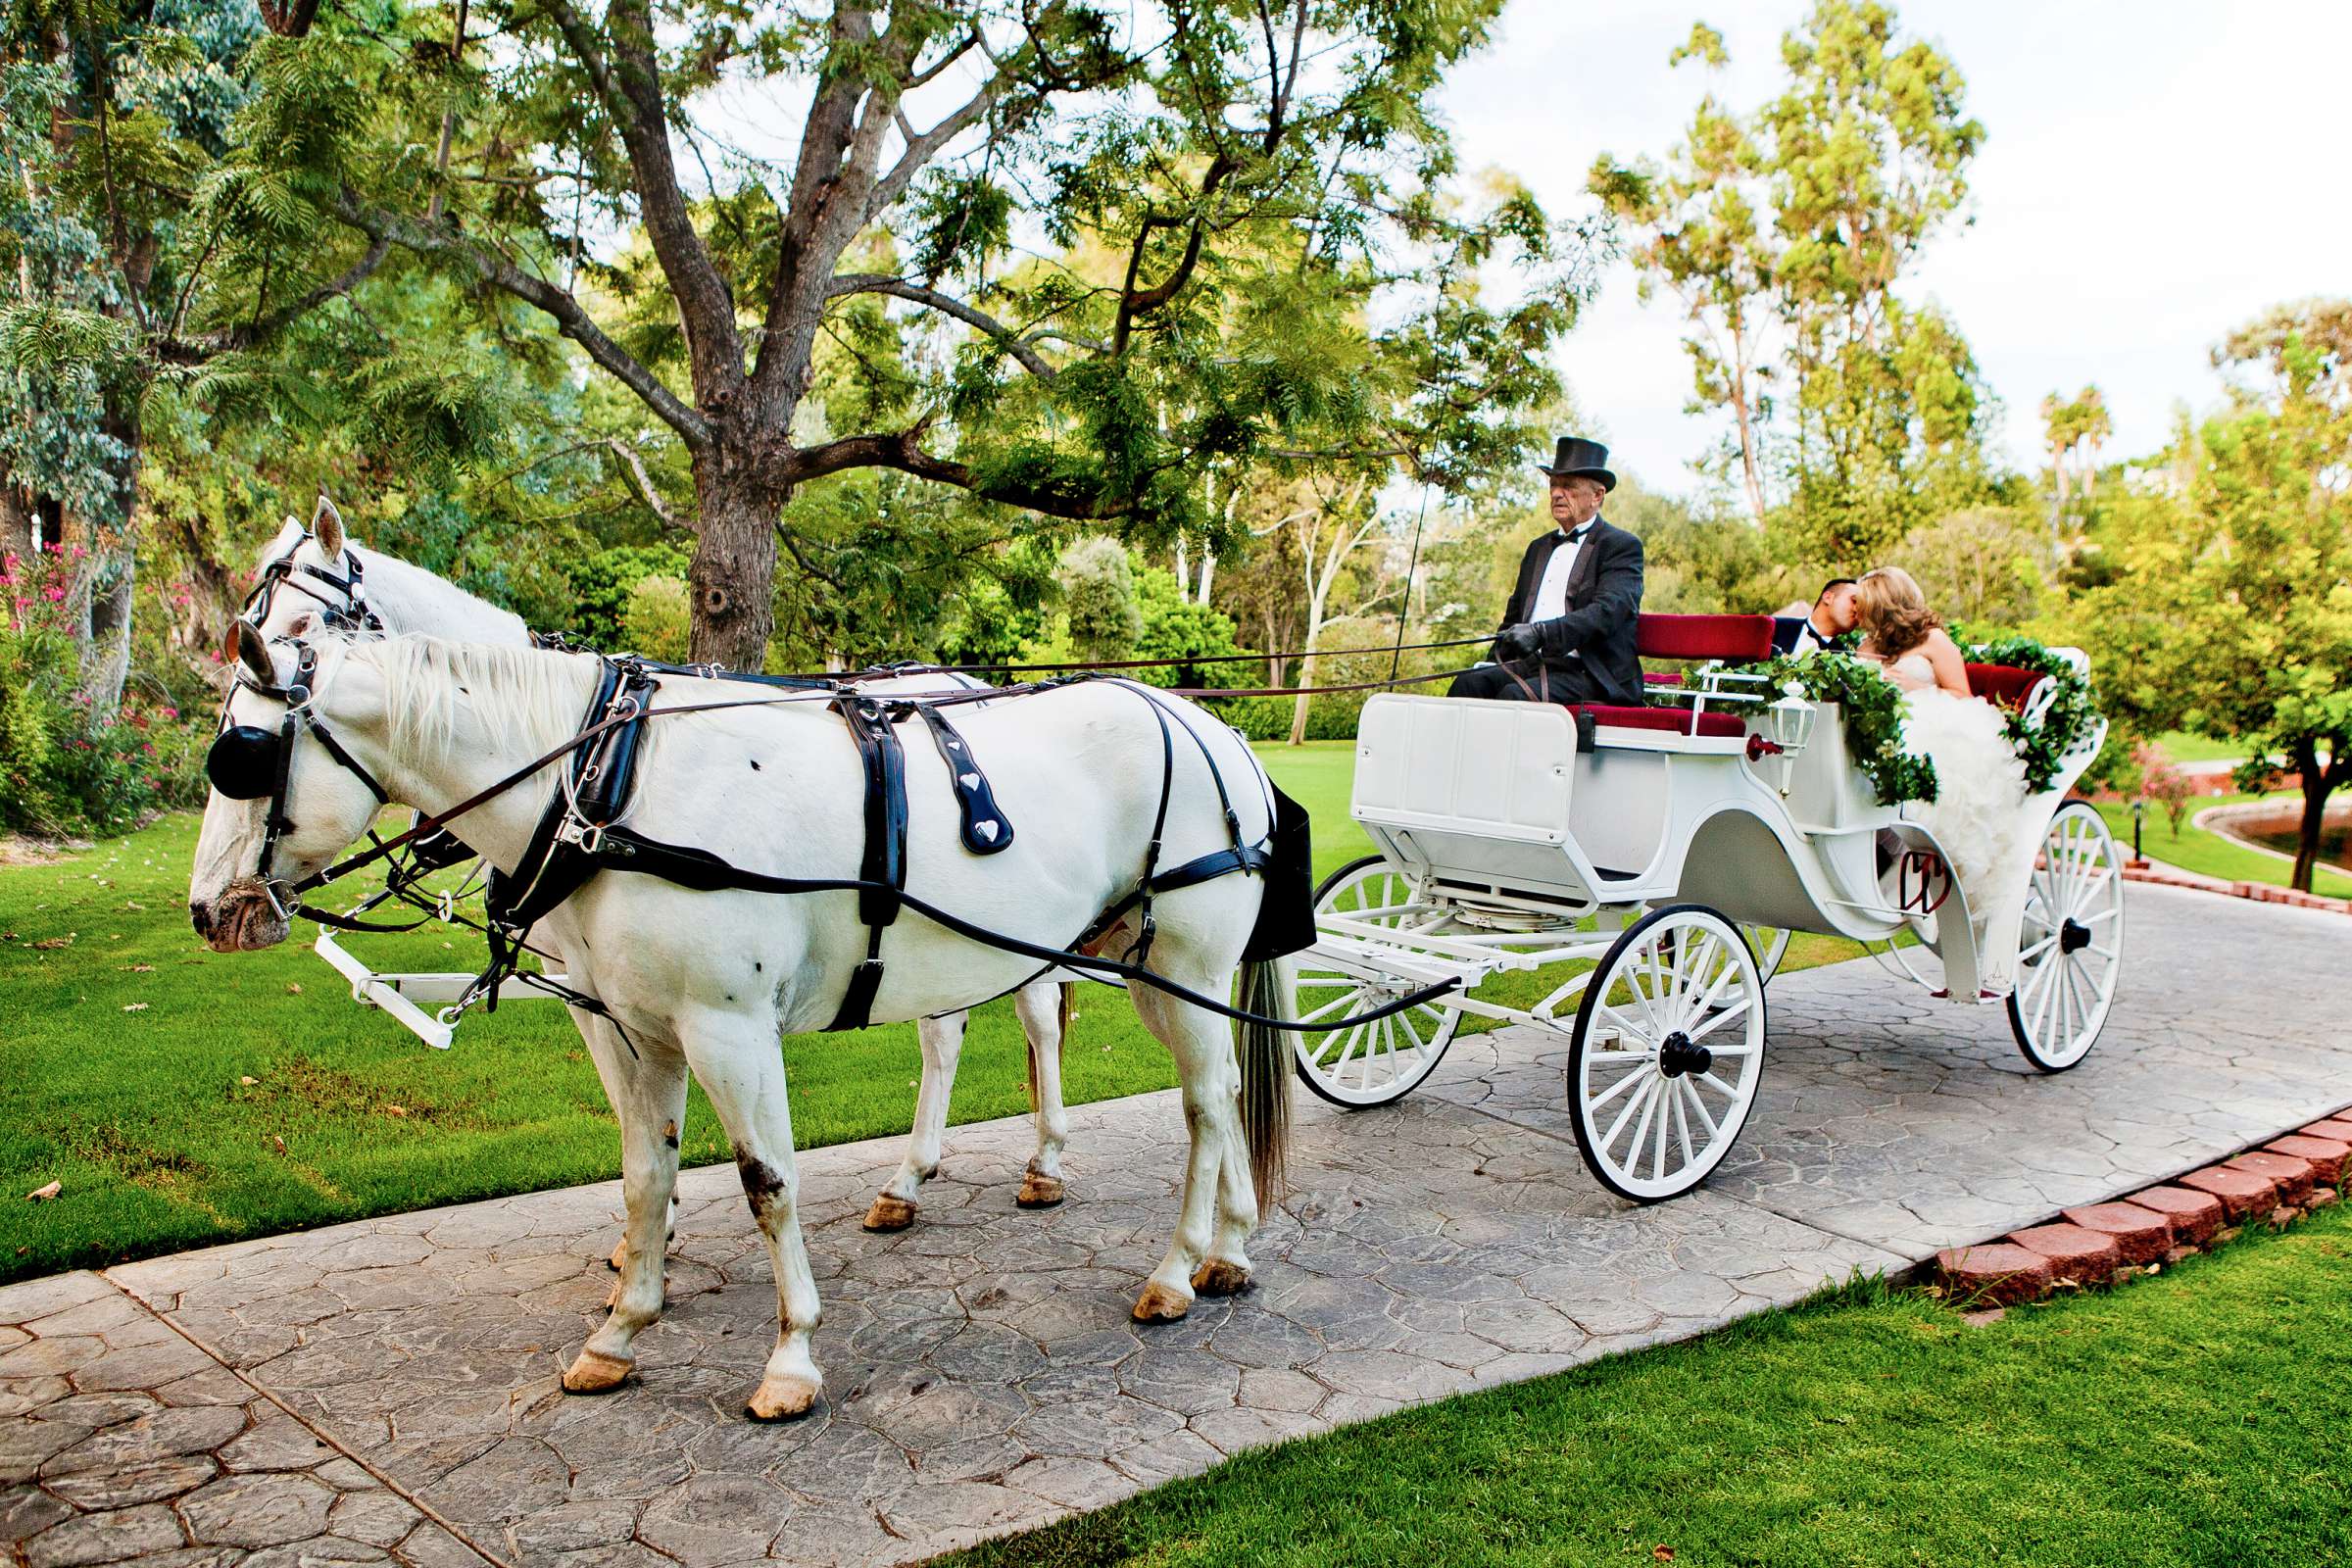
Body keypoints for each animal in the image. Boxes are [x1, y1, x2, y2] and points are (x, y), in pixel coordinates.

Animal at [185, 625, 1298, 1419]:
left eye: (241, 757)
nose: (208, 912)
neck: (608, 787)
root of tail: (1219, 733)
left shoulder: (727, 1028)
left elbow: (768, 1183)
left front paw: (793, 1356)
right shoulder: (634, 1027)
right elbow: (646, 1177)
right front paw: (620, 1331)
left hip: (1181, 962)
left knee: (1203, 1105)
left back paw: (1175, 1269)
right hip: (1137, 960)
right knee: (1220, 1087)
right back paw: (1230, 1247)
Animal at [231, 510, 1082, 1241]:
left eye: (303, 624)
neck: (582, 762)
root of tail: (964, 683)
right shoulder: (588, 982)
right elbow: (631, 1107)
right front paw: (653, 1225)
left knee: (1030, 1017)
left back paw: (1038, 1161)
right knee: (948, 1029)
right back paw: (913, 1179)